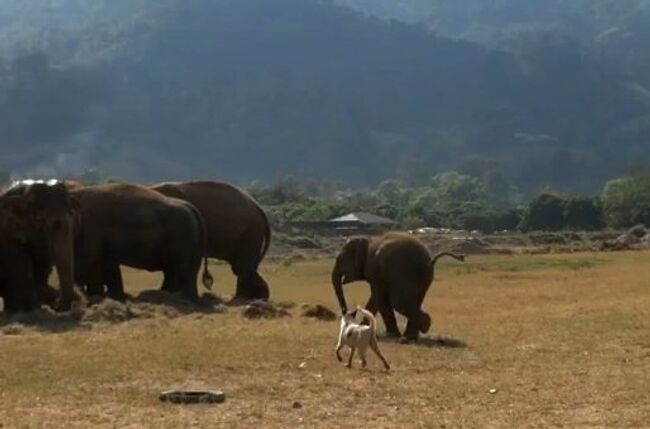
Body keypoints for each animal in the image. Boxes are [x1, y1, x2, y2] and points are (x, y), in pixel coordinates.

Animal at [0, 181, 78, 310]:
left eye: (72, 215)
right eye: (39, 220)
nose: (56, 305)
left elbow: (43, 267)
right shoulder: (7, 235)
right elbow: (20, 266)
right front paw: (28, 309)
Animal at [70, 182, 213, 300]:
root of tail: (192, 208)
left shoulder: (91, 233)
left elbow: (91, 264)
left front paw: (96, 297)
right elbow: (109, 266)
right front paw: (116, 298)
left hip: (182, 238)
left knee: (177, 271)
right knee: (185, 272)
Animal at [332, 232, 464, 342]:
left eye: (340, 260)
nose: (349, 312)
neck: (368, 240)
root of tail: (430, 260)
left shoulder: (375, 271)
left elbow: (380, 298)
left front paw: (390, 335)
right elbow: (375, 299)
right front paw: (362, 328)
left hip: (407, 273)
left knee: (398, 302)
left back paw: (421, 327)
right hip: (424, 278)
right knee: (413, 301)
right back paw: (411, 336)